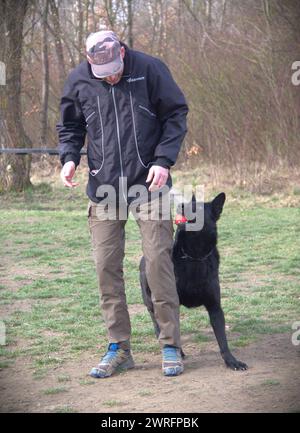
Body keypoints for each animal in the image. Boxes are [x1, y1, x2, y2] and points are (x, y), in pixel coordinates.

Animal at [139, 193, 247, 372]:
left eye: (199, 207)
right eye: (188, 204)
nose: (181, 206)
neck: (195, 256)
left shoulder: (215, 307)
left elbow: (222, 340)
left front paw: (232, 361)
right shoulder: (172, 303)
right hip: (151, 302)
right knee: (158, 325)